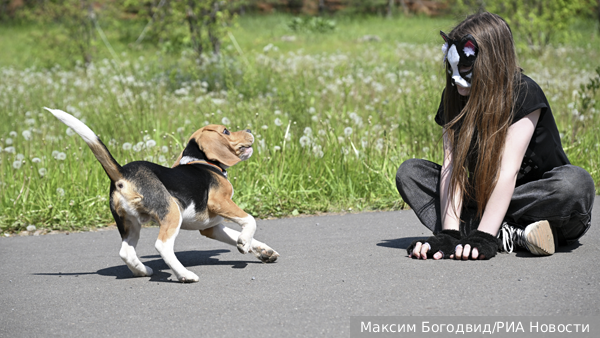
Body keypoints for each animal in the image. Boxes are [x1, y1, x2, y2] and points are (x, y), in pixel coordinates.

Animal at [45, 108, 278, 282]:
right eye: (227, 131)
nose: (249, 129)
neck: (203, 162)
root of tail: (122, 173)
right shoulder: (220, 202)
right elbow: (250, 220)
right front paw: (244, 242)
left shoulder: (211, 227)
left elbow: (237, 234)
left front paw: (262, 250)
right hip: (172, 212)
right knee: (162, 246)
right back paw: (185, 275)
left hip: (129, 223)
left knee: (125, 252)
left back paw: (142, 271)